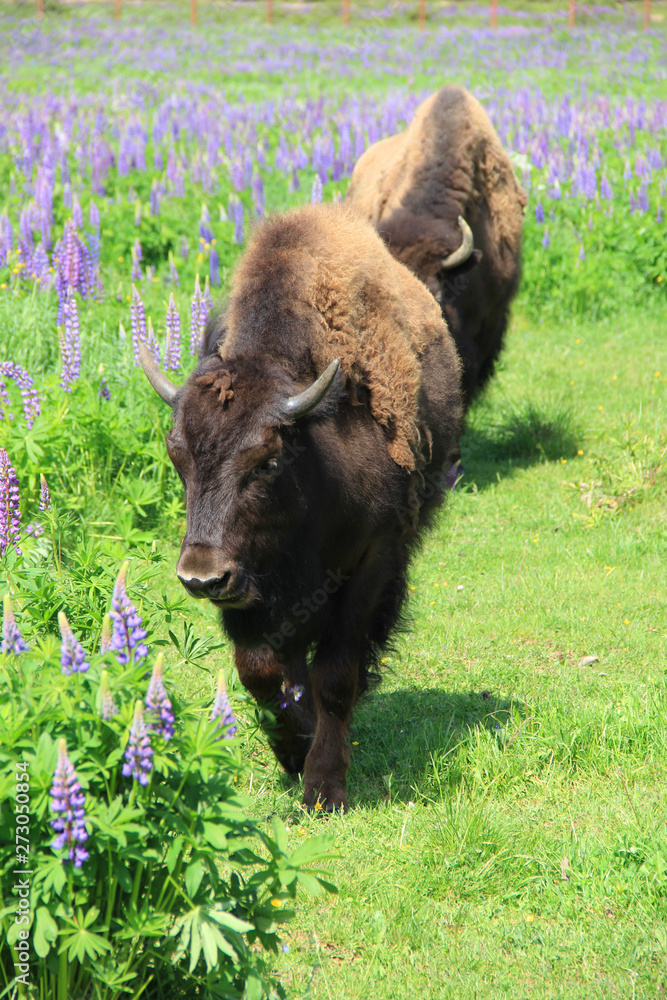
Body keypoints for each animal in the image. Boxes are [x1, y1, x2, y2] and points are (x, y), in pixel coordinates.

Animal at [140, 203, 461, 812]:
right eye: (177, 457)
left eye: (267, 461)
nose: (200, 576)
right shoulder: (252, 595)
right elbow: (261, 671)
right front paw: (294, 748)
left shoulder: (370, 563)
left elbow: (336, 674)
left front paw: (323, 785)